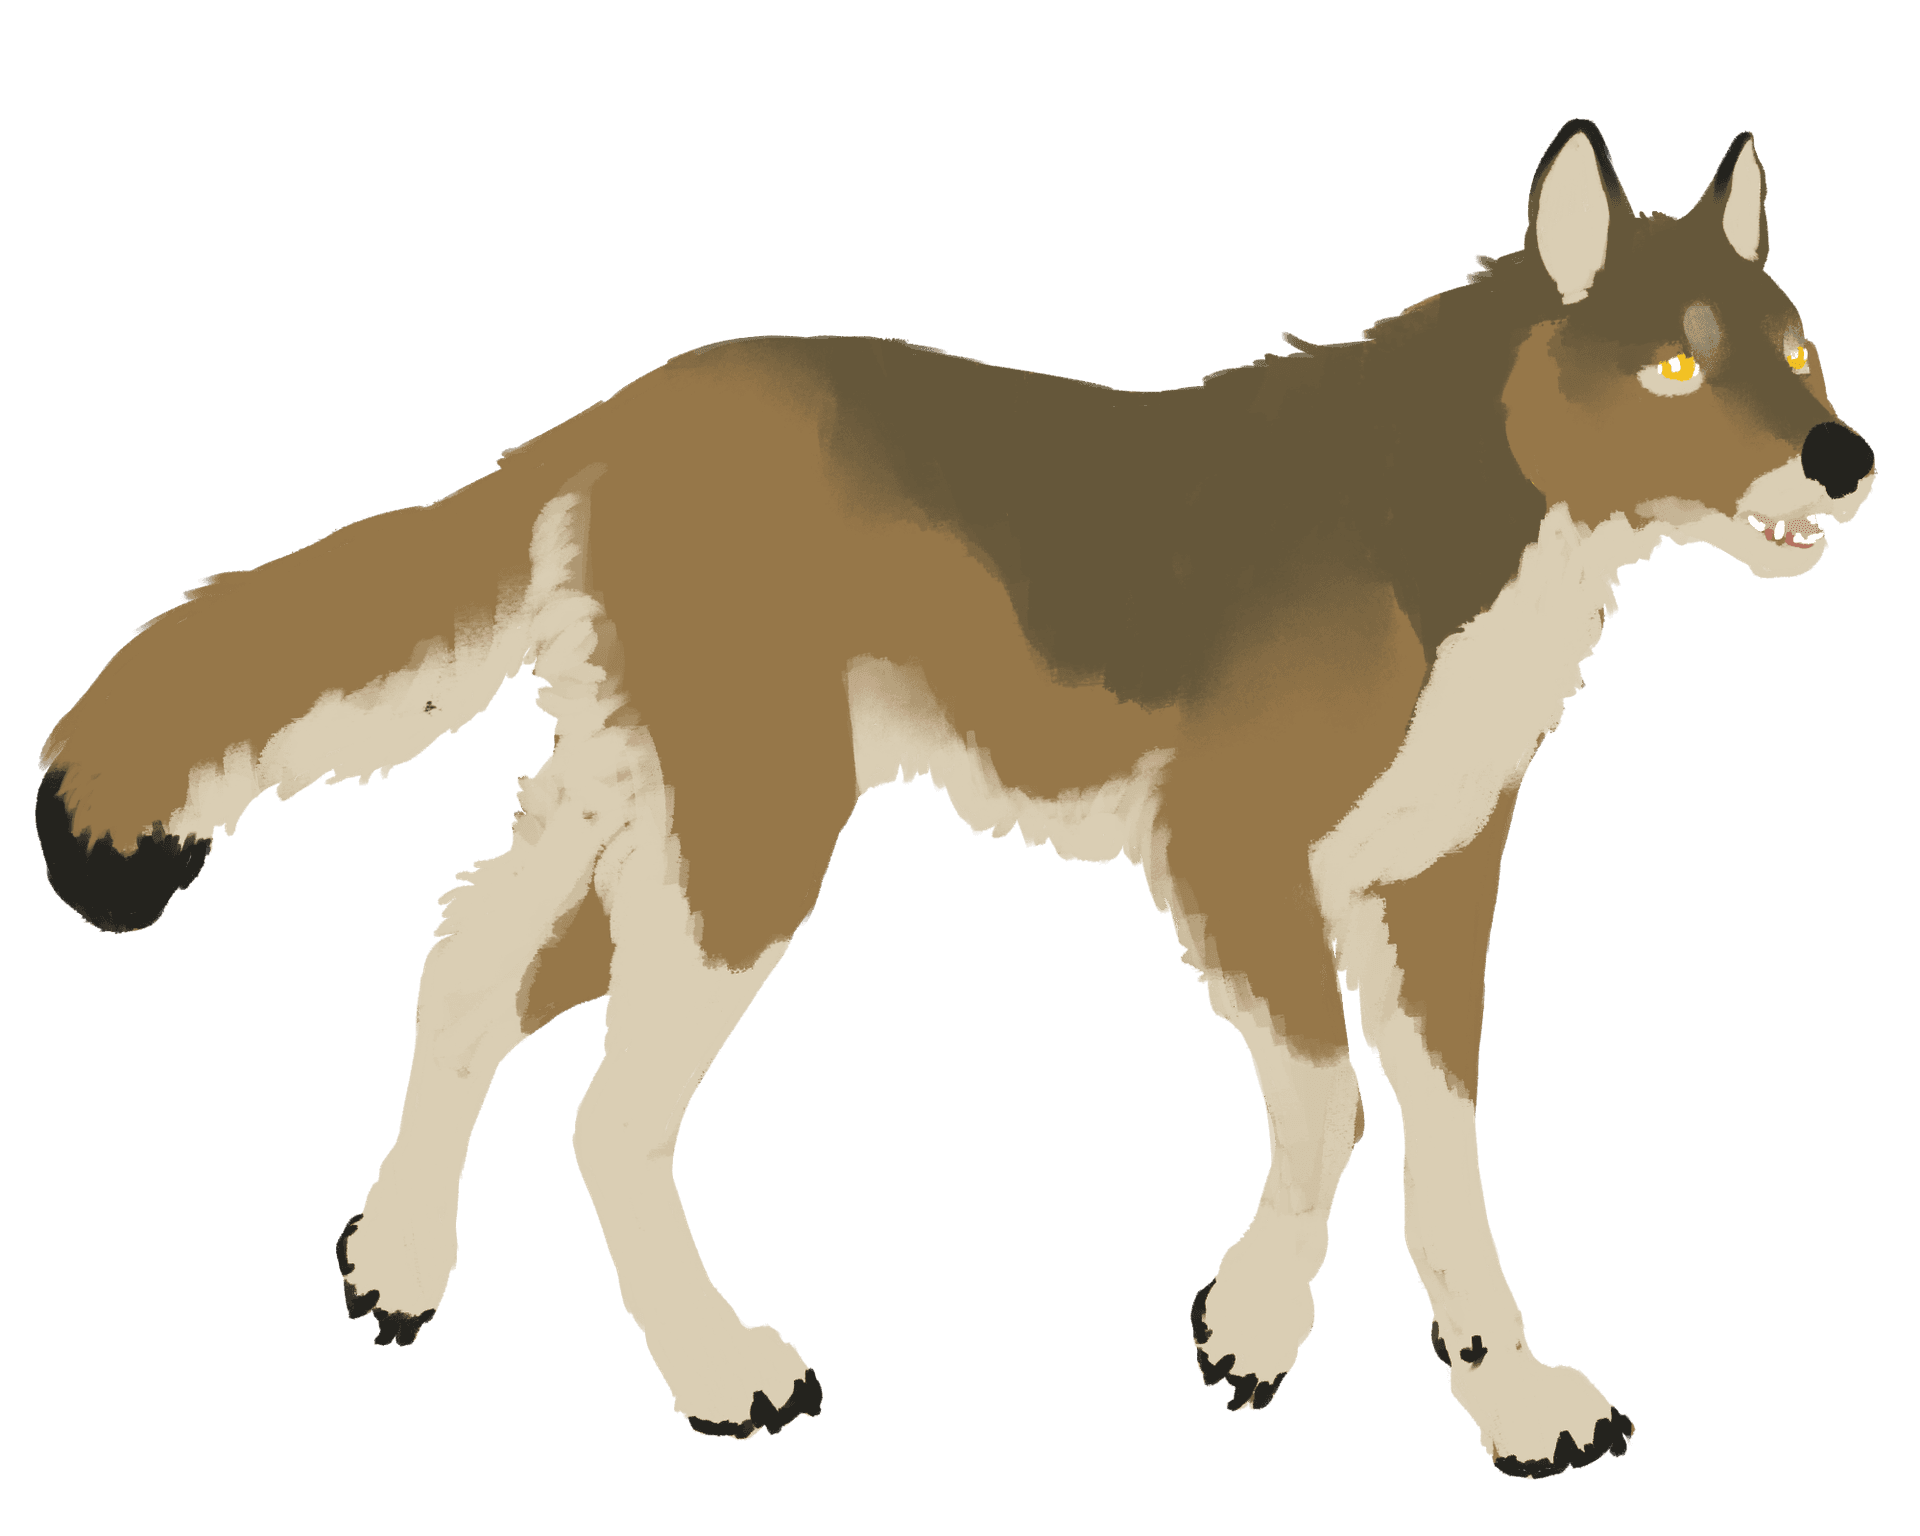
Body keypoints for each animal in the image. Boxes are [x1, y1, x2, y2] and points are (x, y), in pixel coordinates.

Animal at [37, 119, 1875, 1477]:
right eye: (1676, 374)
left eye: (1795, 356)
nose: (1848, 460)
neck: (1466, 539)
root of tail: (634, 396)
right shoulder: (1225, 855)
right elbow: (1334, 1109)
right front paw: (1256, 1320)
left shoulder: (1428, 892)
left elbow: (1451, 1166)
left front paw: (1506, 1392)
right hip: (751, 854)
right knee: (607, 1113)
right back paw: (712, 1366)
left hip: (657, 834)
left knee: (466, 962)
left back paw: (403, 1257)